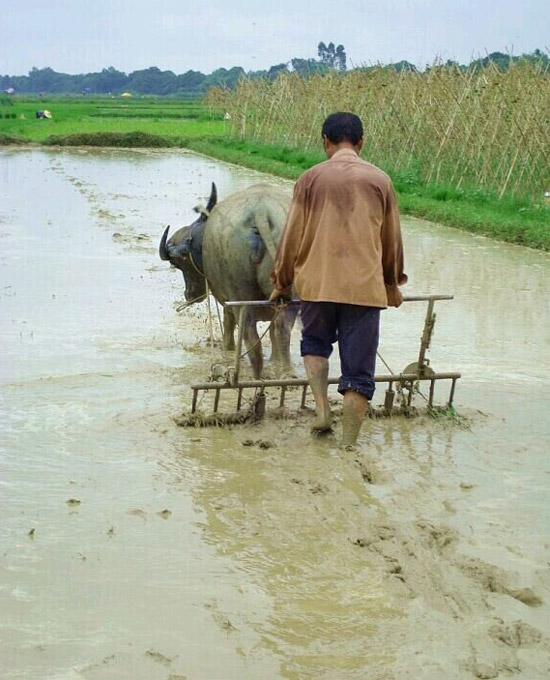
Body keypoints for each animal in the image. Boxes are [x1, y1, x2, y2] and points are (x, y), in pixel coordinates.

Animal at [160, 183, 298, 380]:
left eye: (177, 264)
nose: (189, 294)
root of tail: (261, 211)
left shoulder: (225, 299)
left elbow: (228, 323)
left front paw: (227, 349)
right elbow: (273, 335)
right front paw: (275, 362)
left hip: (241, 299)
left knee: (251, 338)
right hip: (290, 299)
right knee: (281, 330)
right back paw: (286, 374)